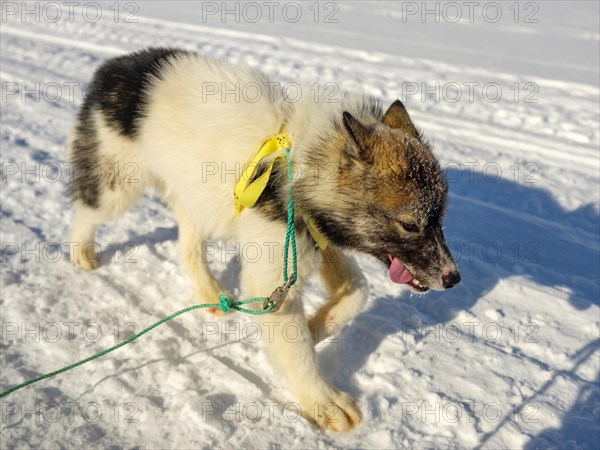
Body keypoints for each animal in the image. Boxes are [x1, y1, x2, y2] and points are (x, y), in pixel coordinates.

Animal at [68, 47, 460, 430]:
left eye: (441, 216)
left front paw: (315, 327)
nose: (453, 278)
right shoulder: (275, 273)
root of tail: (115, 65)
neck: (295, 166)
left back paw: (209, 292)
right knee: (86, 211)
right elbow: (298, 352)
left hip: (195, 200)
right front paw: (323, 400)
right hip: (118, 187)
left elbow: (358, 290)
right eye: (410, 225)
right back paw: (81, 252)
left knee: (189, 247)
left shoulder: (316, 239)